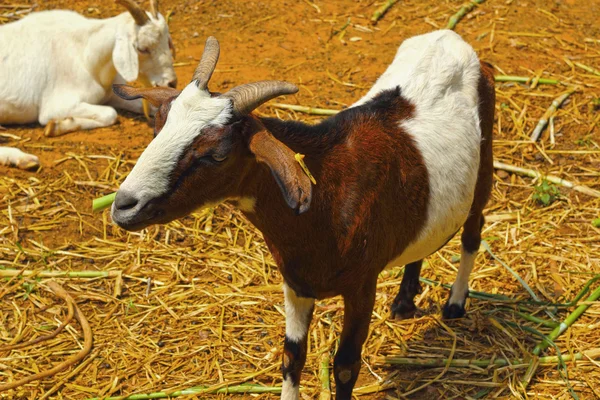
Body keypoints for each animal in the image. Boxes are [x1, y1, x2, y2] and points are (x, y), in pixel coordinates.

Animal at [0, 0, 177, 170]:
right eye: (142, 49)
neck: (86, 56)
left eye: (167, 42)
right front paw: (56, 125)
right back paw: (23, 159)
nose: (171, 82)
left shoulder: (114, 94)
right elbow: (111, 114)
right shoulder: (55, 106)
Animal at [110, 31, 494, 400]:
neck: (327, 195)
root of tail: (451, 39)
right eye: (157, 127)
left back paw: (455, 303)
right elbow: (292, 357)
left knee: (473, 231)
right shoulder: (296, 282)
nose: (124, 204)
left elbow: (345, 366)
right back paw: (403, 300)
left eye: (216, 155)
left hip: (483, 172)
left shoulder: (362, 285)